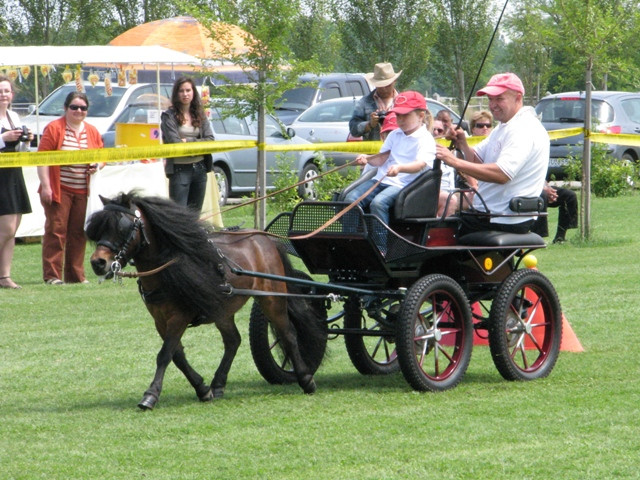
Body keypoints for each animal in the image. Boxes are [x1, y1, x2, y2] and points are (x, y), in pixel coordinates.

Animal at [85, 191, 324, 408]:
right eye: (98, 229)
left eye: (121, 227)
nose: (98, 263)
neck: (169, 265)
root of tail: (265, 239)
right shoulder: (160, 320)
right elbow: (177, 356)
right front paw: (202, 389)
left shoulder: (179, 317)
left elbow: (164, 354)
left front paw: (150, 395)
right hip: (223, 308)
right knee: (233, 341)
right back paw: (218, 384)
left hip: (272, 299)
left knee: (288, 333)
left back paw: (305, 379)